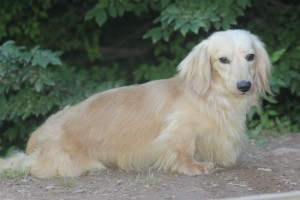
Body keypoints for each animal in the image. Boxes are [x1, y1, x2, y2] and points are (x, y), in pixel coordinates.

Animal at [0, 29, 272, 178]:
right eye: (223, 60)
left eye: (250, 56)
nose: (244, 86)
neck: (212, 97)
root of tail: (36, 136)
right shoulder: (178, 131)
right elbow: (182, 150)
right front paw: (194, 166)